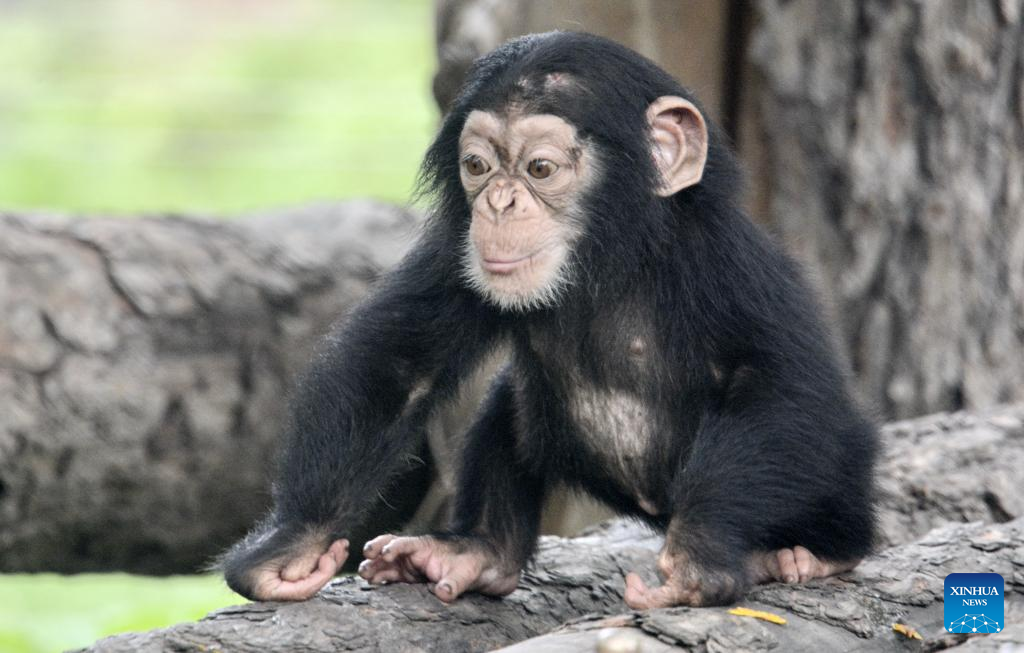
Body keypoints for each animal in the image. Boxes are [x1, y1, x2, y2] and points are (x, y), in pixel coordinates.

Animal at [224, 30, 880, 610]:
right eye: (478, 165)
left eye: (539, 169)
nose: (498, 204)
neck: (609, 261)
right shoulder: (453, 252)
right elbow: (398, 363)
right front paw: (291, 544)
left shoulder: (730, 266)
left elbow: (777, 387)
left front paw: (700, 559)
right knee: (509, 406)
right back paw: (476, 551)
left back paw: (812, 554)